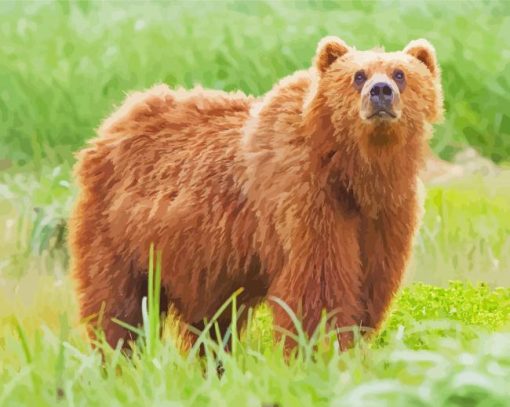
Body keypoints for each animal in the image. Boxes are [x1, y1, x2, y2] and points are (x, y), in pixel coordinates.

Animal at [69, 36, 444, 352]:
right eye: (358, 75)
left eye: (400, 73)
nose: (380, 91)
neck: (353, 173)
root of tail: (114, 121)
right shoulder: (305, 197)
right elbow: (317, 290)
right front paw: (319, 351)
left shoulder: (386, 214)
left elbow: (369, 286)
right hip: (118, 233)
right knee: (118, 308)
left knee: (211, 326)